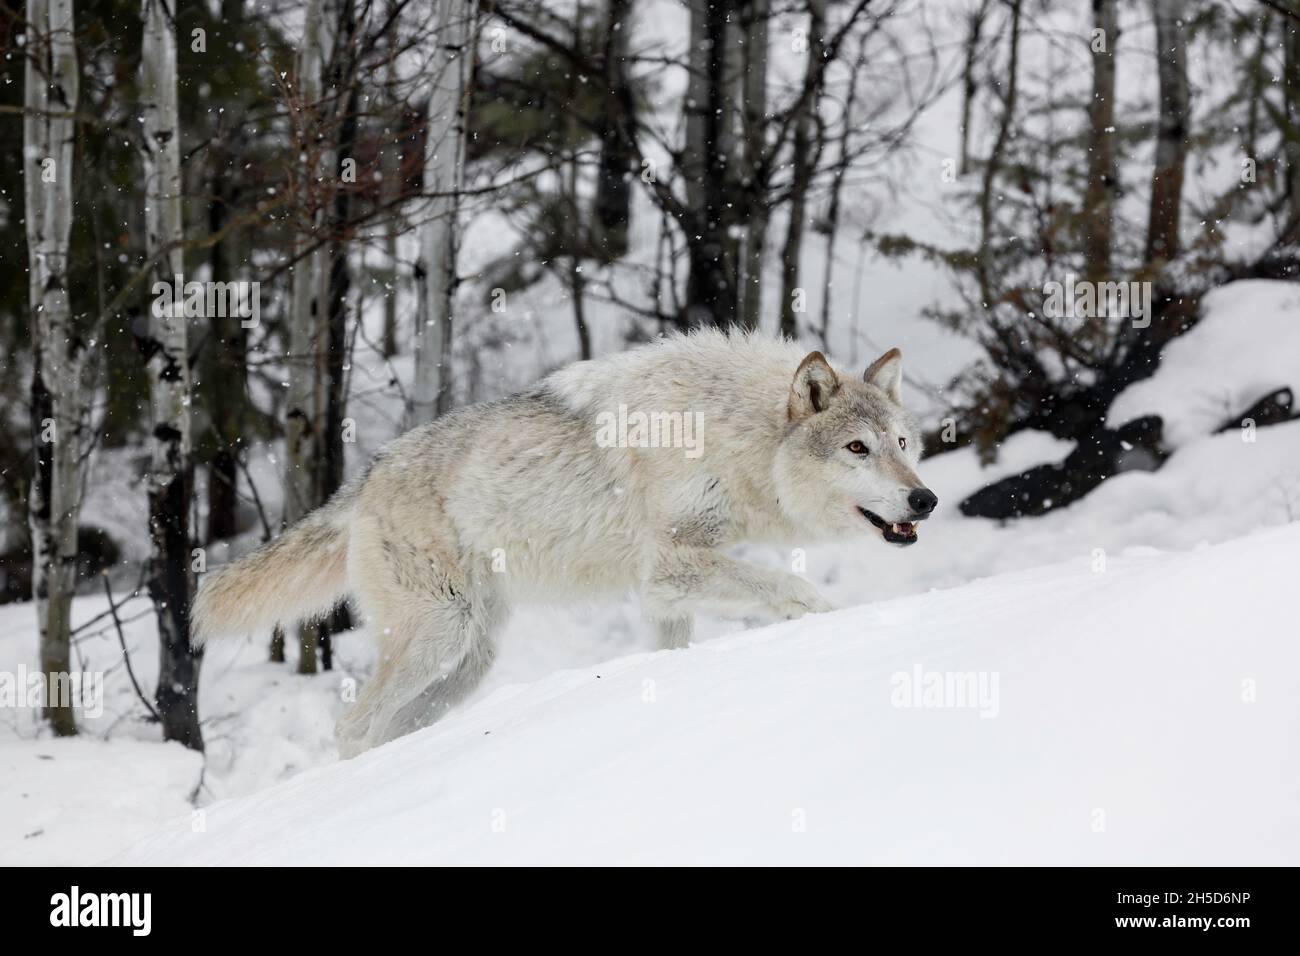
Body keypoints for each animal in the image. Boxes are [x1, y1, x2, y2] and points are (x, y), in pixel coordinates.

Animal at [194, 331, 938, 756]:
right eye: (857, 448)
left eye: (902, 444)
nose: (926, 500)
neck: (734, 434)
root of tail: (364, 480)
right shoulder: (671, 566)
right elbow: (793, 587)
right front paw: (836, 626)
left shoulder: (664, 595)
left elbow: (675, 651)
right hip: (439, 632)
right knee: (352, 728)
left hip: (471, 657)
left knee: (393, 725)